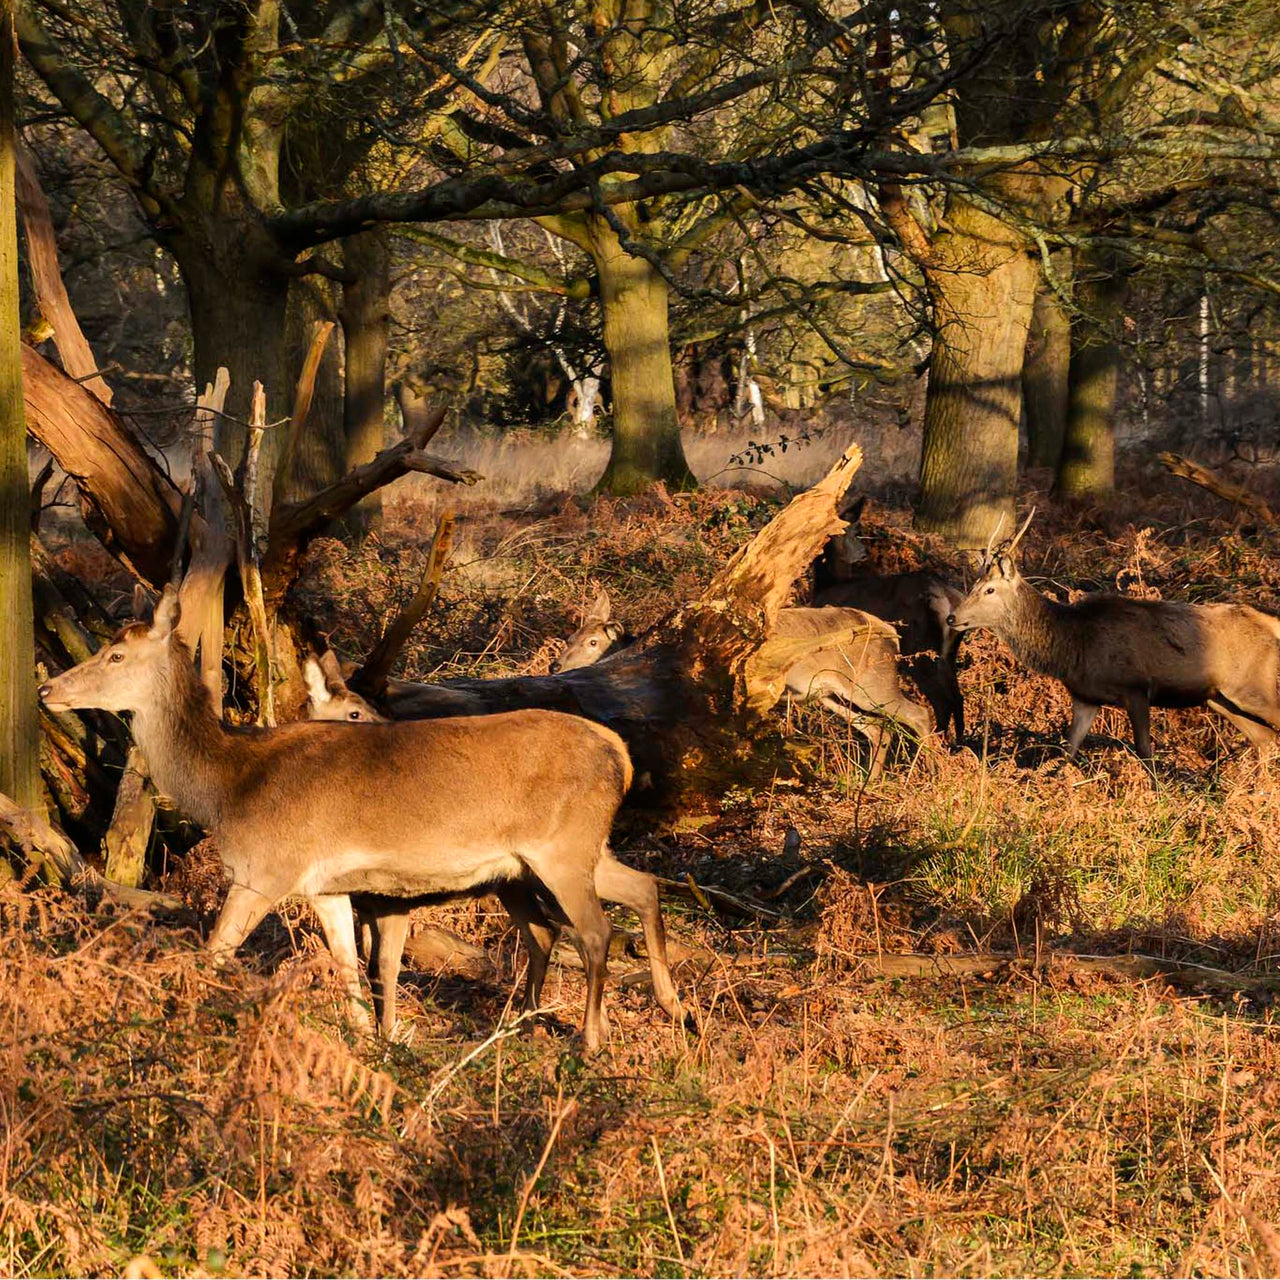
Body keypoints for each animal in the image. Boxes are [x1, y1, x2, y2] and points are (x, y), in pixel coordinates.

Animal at [301, 652, 683, 1035]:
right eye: (354, 712)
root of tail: (621, 753)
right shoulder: (356, 898)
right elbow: (360, 965)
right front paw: (371, 1034)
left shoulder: (392, 896)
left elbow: (383, 968)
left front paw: (389, 1035)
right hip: (548, 865)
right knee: (633, 892)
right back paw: (661, 1006)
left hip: (563, 851)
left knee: (592, 930)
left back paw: (591, 1033)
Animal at [550, 592, 932, 778]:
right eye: (570, 637)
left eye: (593, 642)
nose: (555, 665)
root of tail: (893, 634)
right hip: (830, 694)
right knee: (878, 728)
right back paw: (869, 782)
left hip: (872, 681)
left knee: (918, 714)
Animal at [812, 495, 966, 740]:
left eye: (855, 531)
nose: (864, 553)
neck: (826, 586)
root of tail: (949, 599)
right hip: (947, 652)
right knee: (957, 697)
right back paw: (959, 743)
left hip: (920, 649)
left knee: (941, 700)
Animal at [947, 510, 1280, 763]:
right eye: (974, 586)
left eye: (990, 590)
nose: (952, 617)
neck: (1073, 644)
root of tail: (1270, 622)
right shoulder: (1085, 697)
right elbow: (1068, 750)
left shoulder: (1137, 688)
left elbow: (1144, 751)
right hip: (1221, 698)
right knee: (1264, 741)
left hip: (1255, 686)